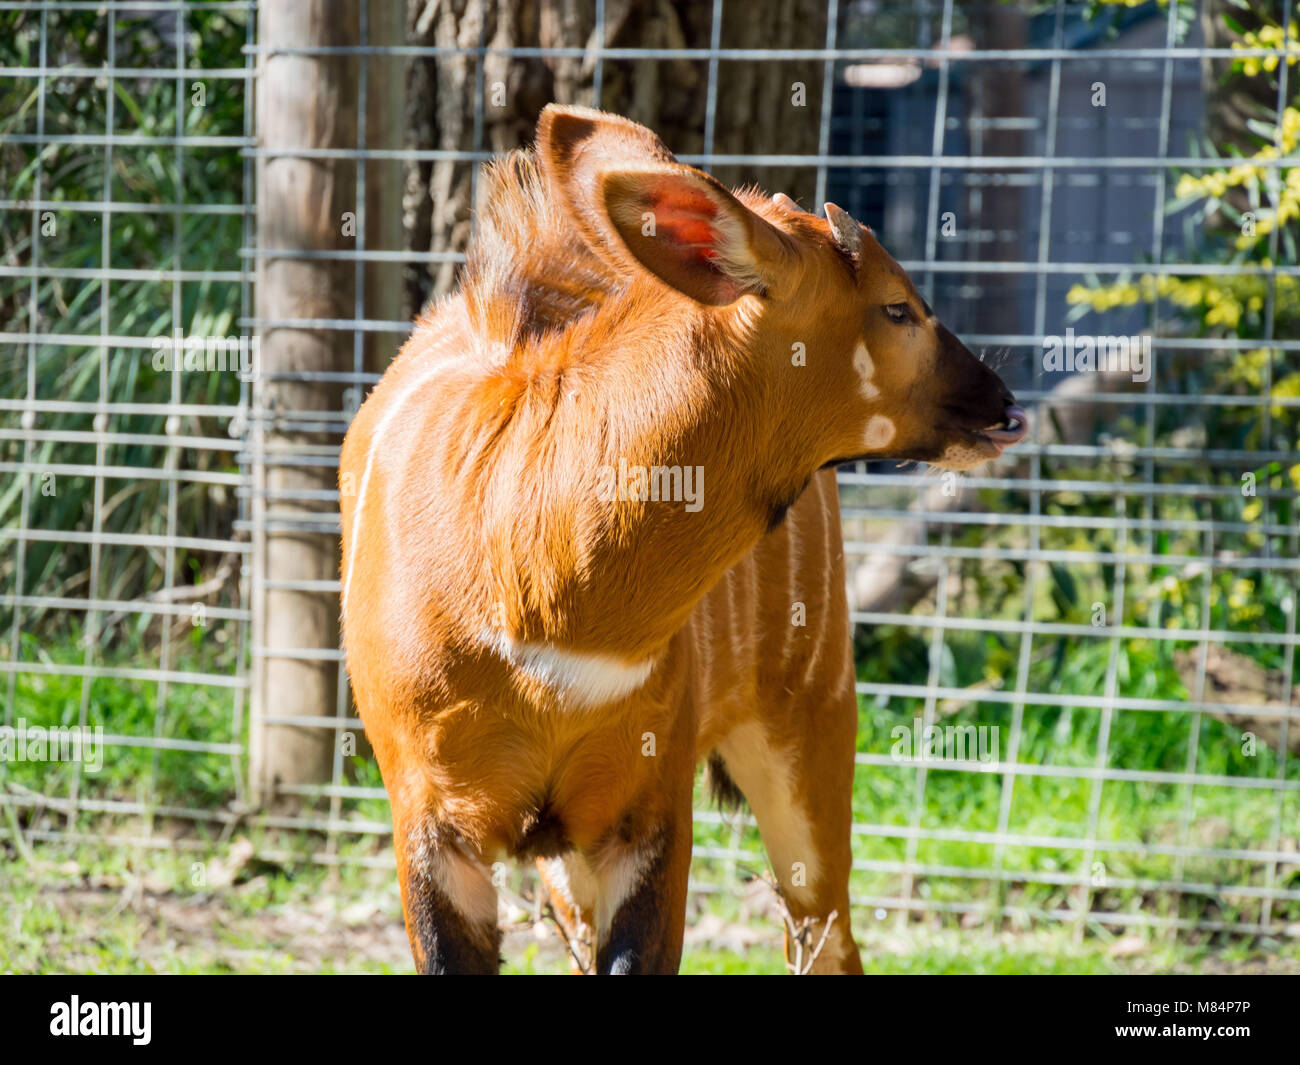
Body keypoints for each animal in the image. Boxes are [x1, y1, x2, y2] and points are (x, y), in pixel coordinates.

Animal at [340, 105, 1029, 972]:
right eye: (898, 307)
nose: (1004, 404)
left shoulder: (649, 812)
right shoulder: (432, 824)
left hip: (810, 722)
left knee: (823, 929)